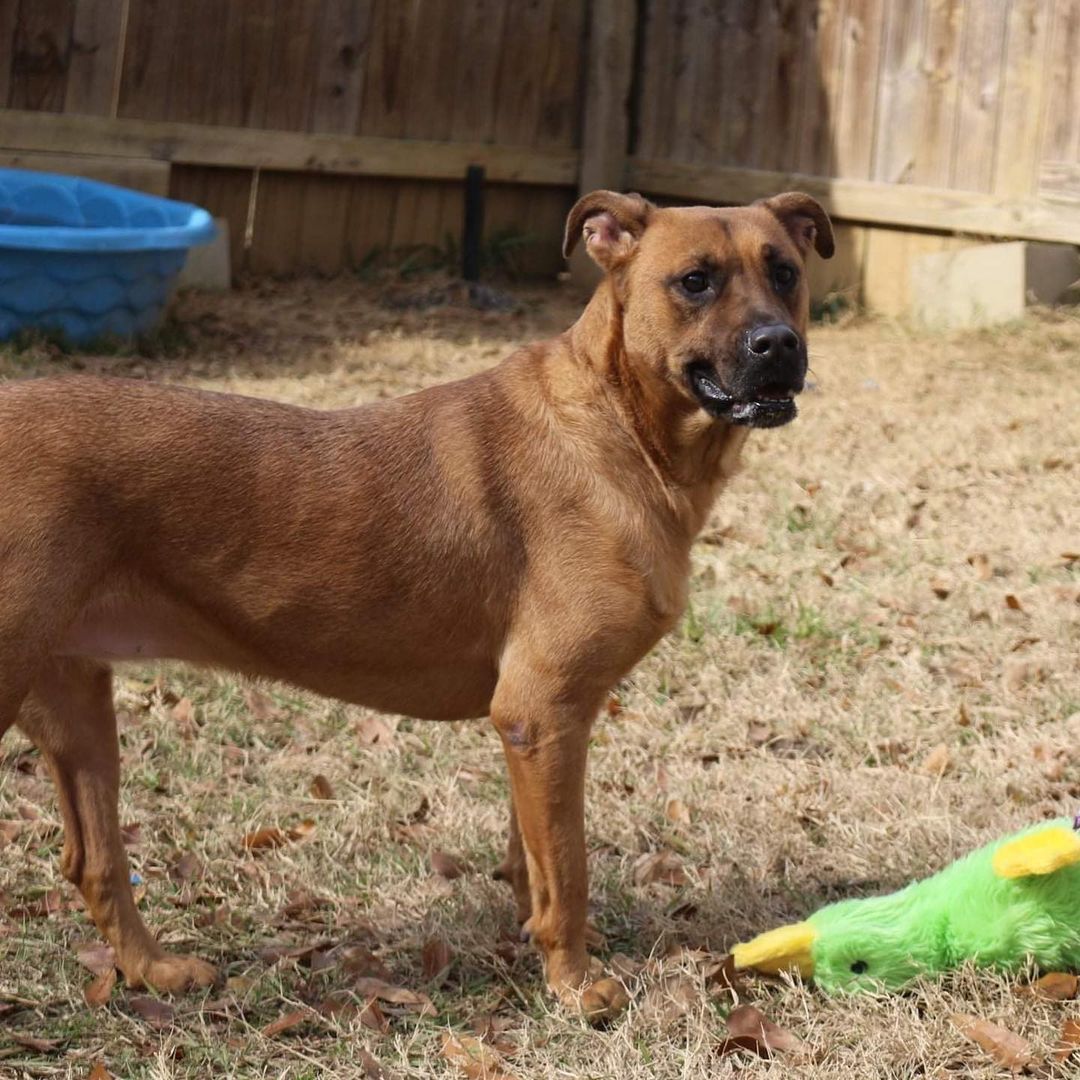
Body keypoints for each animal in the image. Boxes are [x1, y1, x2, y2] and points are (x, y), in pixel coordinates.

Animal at [0, 190, 833, 1006]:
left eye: (785, 272)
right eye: (695, 281)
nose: (779, 345)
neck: (619, 424)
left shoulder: (534, 728)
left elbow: (532, 860)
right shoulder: (545, 710)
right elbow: (568, 869)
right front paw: (575, 985)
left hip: (79, 707)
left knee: (94, 862)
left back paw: (153, 971)